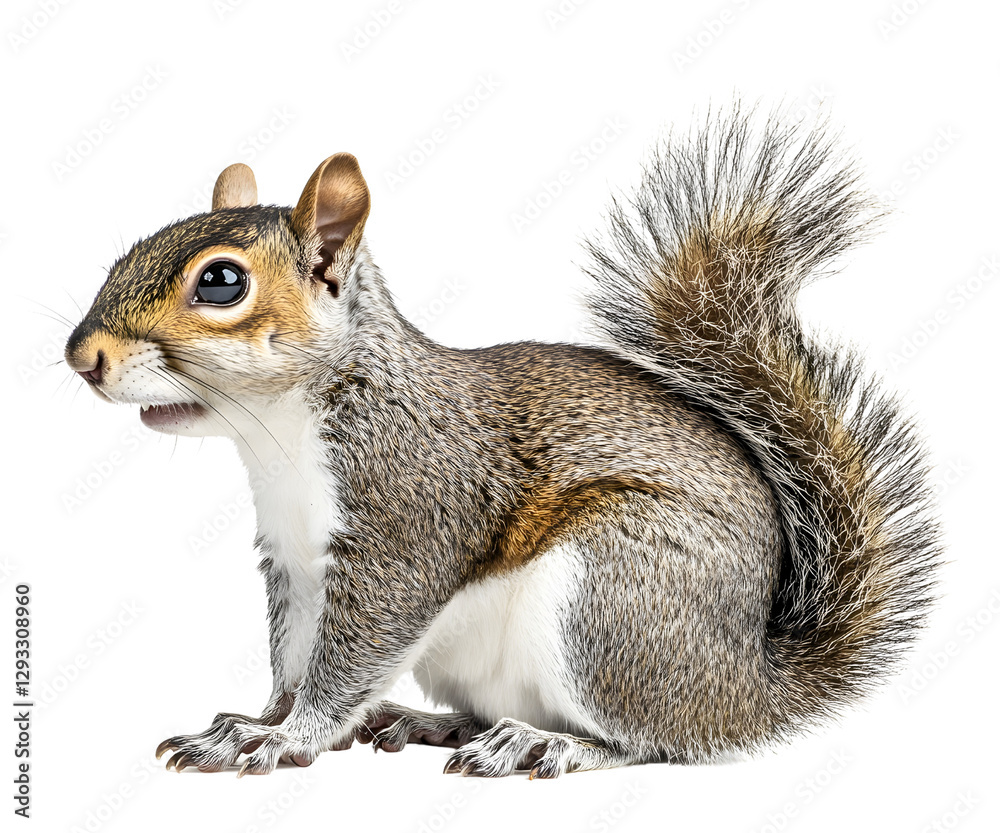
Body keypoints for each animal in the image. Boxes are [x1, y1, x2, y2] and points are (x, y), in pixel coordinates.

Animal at [64, 109, 940, 778]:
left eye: (221, 282)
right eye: (131, 249)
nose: (82, 356)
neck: (279, 432)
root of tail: (750, 683)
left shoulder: (405, 522)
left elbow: (348, 657)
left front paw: (284, 738)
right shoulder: (294, 560)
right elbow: (294, 653)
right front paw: (257, 719)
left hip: (613, 598)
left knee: (662, 741)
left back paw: (548, 746)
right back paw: (436, 723)